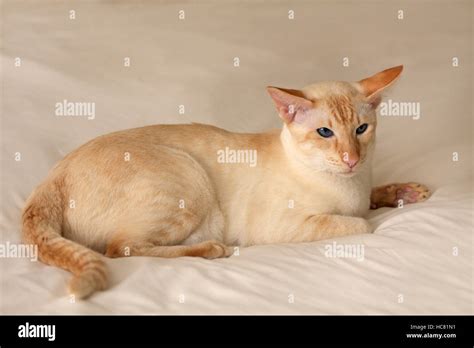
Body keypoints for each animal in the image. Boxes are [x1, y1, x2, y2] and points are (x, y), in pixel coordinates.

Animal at [21, 64, 430, 298]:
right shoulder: (284, 225)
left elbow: (374, 197)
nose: (351, 158)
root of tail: (52, 176)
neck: (349, 185)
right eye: (325, 132)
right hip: (188, 179)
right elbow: (362, 223)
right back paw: (211, 249)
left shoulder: (363, 186)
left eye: (361, 129)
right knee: (120, 246)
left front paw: (408, 192)